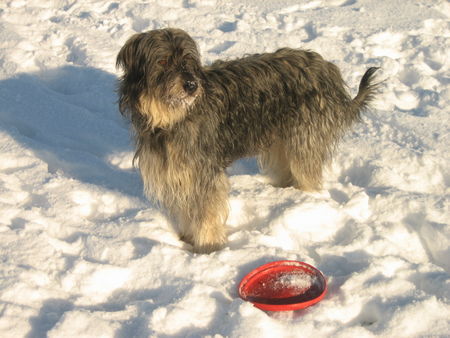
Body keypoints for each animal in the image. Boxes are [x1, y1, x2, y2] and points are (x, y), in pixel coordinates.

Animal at [117, 27, 380, 254]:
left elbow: (206, 214)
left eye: (188, 60)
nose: (191, 85)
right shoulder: (178, 172)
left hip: (304, 138)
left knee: (307, 173)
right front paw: (188, 239)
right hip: (281, 140)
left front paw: (207, 249)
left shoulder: (203, 173)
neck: (170, 120)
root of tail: (327, 69)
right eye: (162, 61)